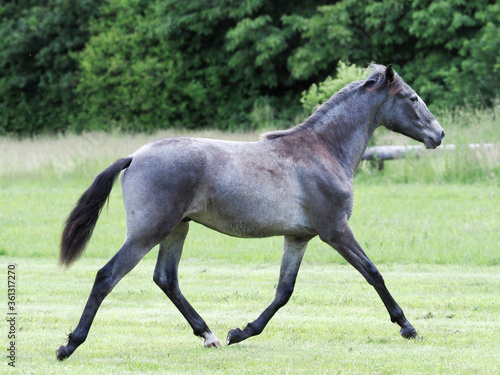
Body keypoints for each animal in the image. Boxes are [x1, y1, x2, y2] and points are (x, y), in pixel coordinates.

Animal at [55, 64, 446, 362]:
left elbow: (283, 291)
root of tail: (134, 156)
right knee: (107, 276)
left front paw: (240, 332)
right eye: (412, 98)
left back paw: (209, 335)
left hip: (177, 229)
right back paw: (69, 345)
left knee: (166, 279)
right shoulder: (335, 230)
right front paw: (408, 327)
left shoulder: (299, 237)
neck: (323, 150)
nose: (439, 134)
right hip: (147, 232)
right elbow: (373, 273)